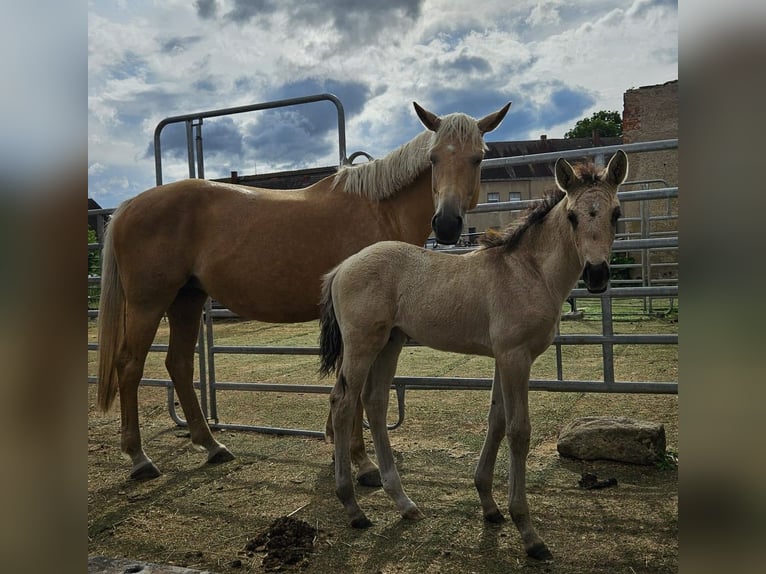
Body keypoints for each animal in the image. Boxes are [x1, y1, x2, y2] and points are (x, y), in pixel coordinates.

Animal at [96, 101, 511, 481]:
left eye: (477, 158)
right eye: (434, 157)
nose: (446, 224)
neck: (380, 209)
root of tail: (129, 206)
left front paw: (338, 445)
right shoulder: (360, 322)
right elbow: (354, 387)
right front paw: (362, 462)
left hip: (187, 299)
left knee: (179, 364)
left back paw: (212, 445)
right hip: (148, 303)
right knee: (129, 365)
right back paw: (139, 458)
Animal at [318, 150, 628, 560]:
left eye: (616, 213)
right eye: (574, 216)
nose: (596, 275)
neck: (528, 271)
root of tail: (341, 267)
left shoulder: (503, 357)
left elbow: (496, 420)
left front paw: (489, 506)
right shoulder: (515, 357)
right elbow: (518, 431)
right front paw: (528, 532)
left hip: (390, 343)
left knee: (375, 402)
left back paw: (404, 502)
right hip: (362, 344)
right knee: (342, 402)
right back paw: (353, 508)